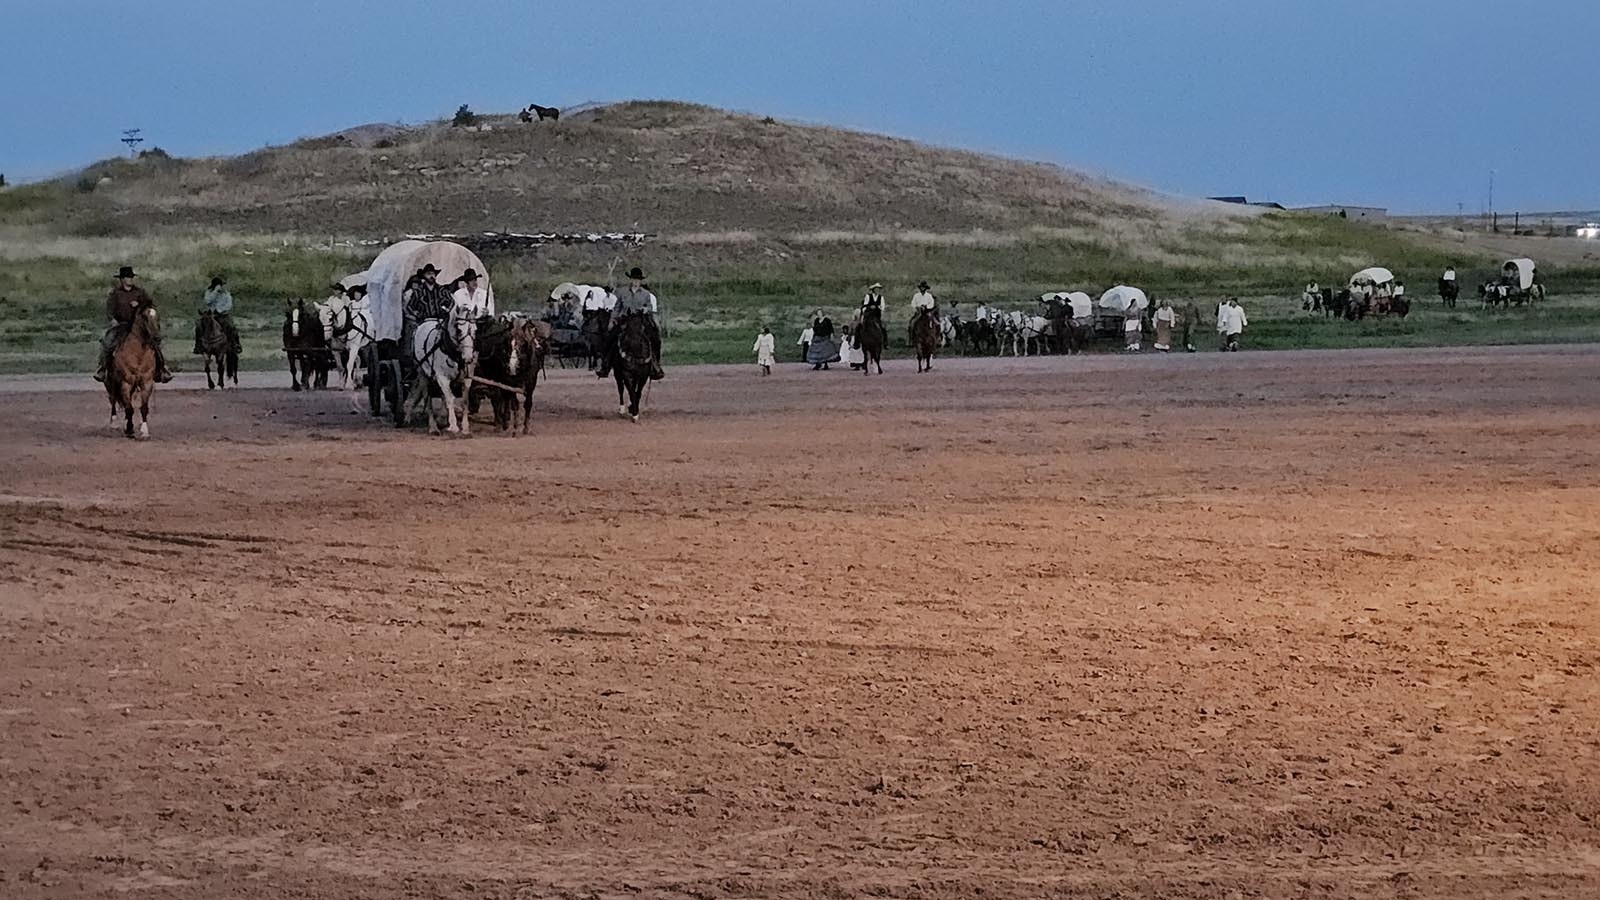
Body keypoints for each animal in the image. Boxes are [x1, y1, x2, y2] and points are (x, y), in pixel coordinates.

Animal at [403, 301, 476, 435]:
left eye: (475, 330)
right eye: (459, 330)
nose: (468, 358)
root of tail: (424, 322)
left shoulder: (467, 378)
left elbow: (464, 400)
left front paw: (465, 427)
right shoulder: (442, 378)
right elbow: (450, 398)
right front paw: (453, 426)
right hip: (422, 373)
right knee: (427, 397)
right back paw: (433, 426)